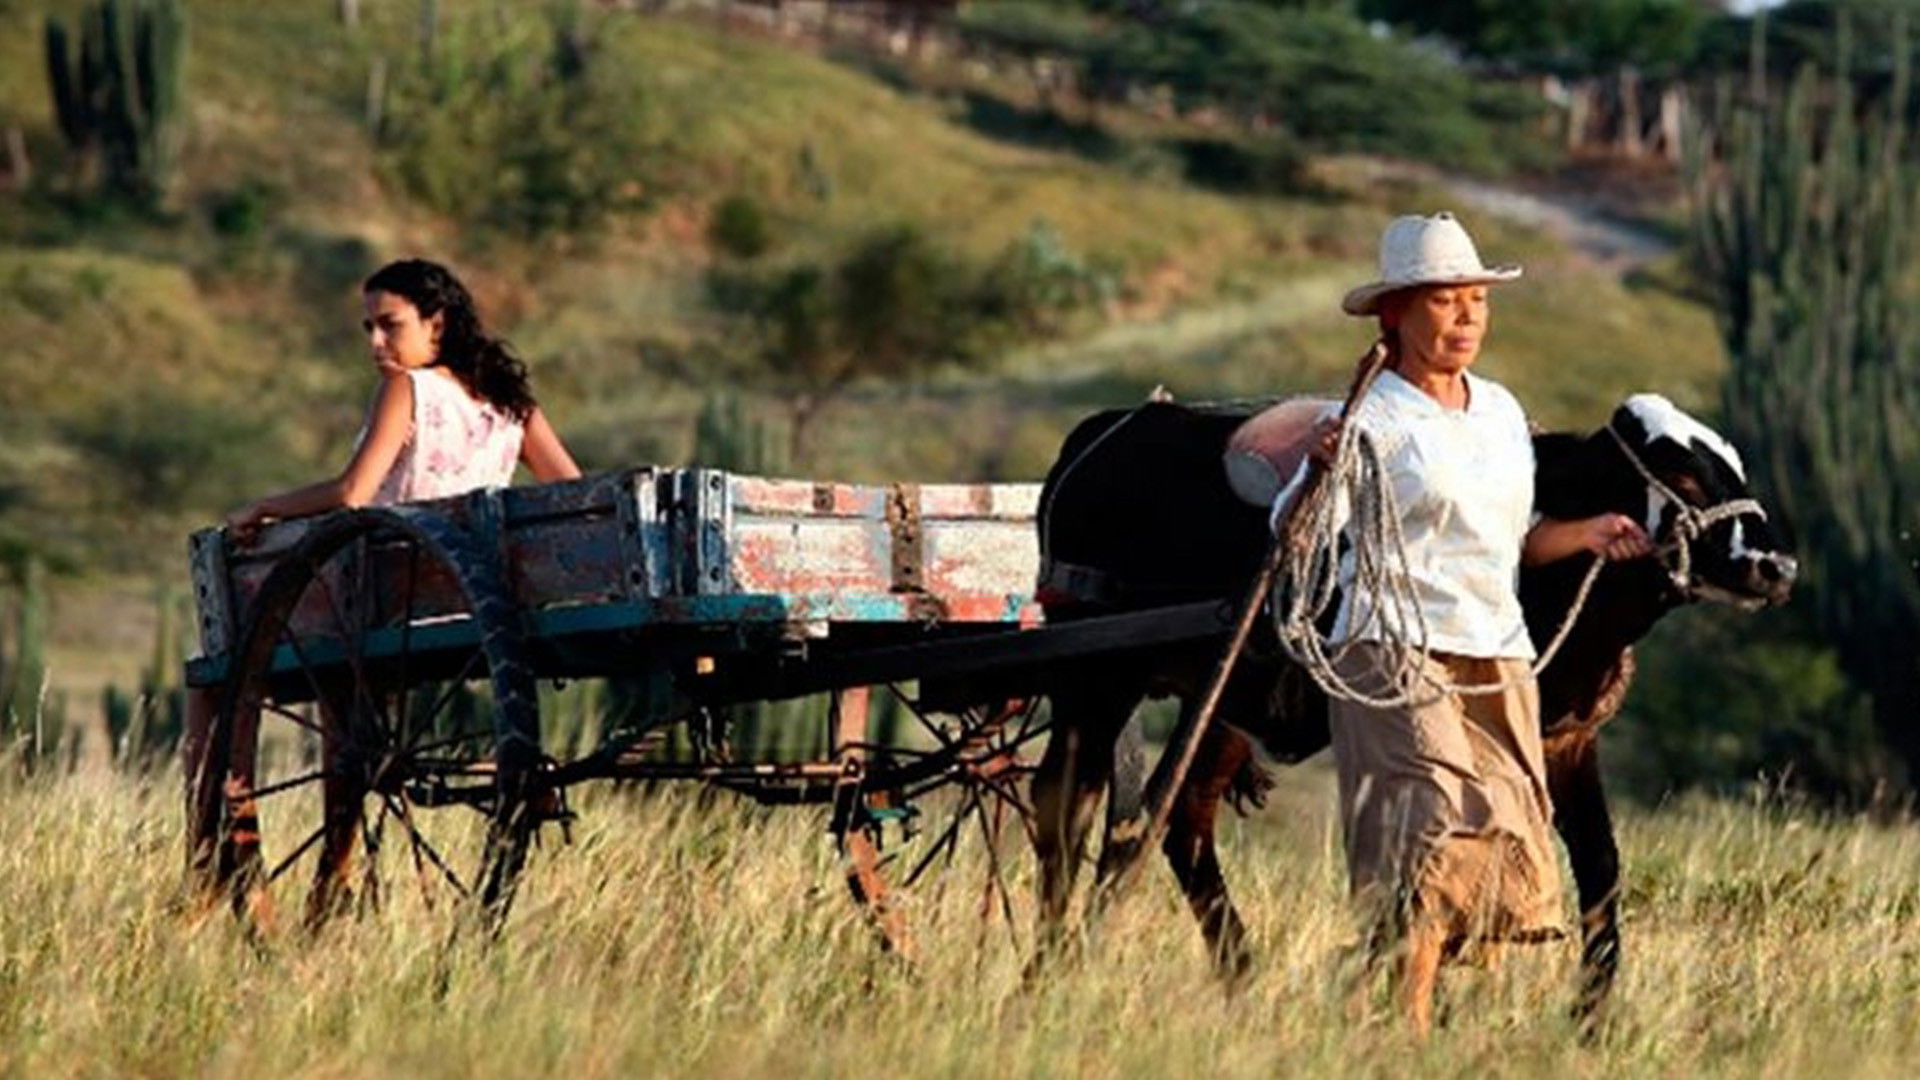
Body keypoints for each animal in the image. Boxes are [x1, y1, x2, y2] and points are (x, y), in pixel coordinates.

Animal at [1027, 393, 1797, 1019]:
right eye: (1686, 477)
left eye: (1733, 467)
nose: (1775, 567)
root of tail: (1108, 429)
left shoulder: (1566, 742)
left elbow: (1600, 869)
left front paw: (1591, 1017)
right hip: (1097, 684)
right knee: (1067, 807)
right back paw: (1052, 965)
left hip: (1217, 703)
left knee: (1174, 820)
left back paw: (1239, 975)